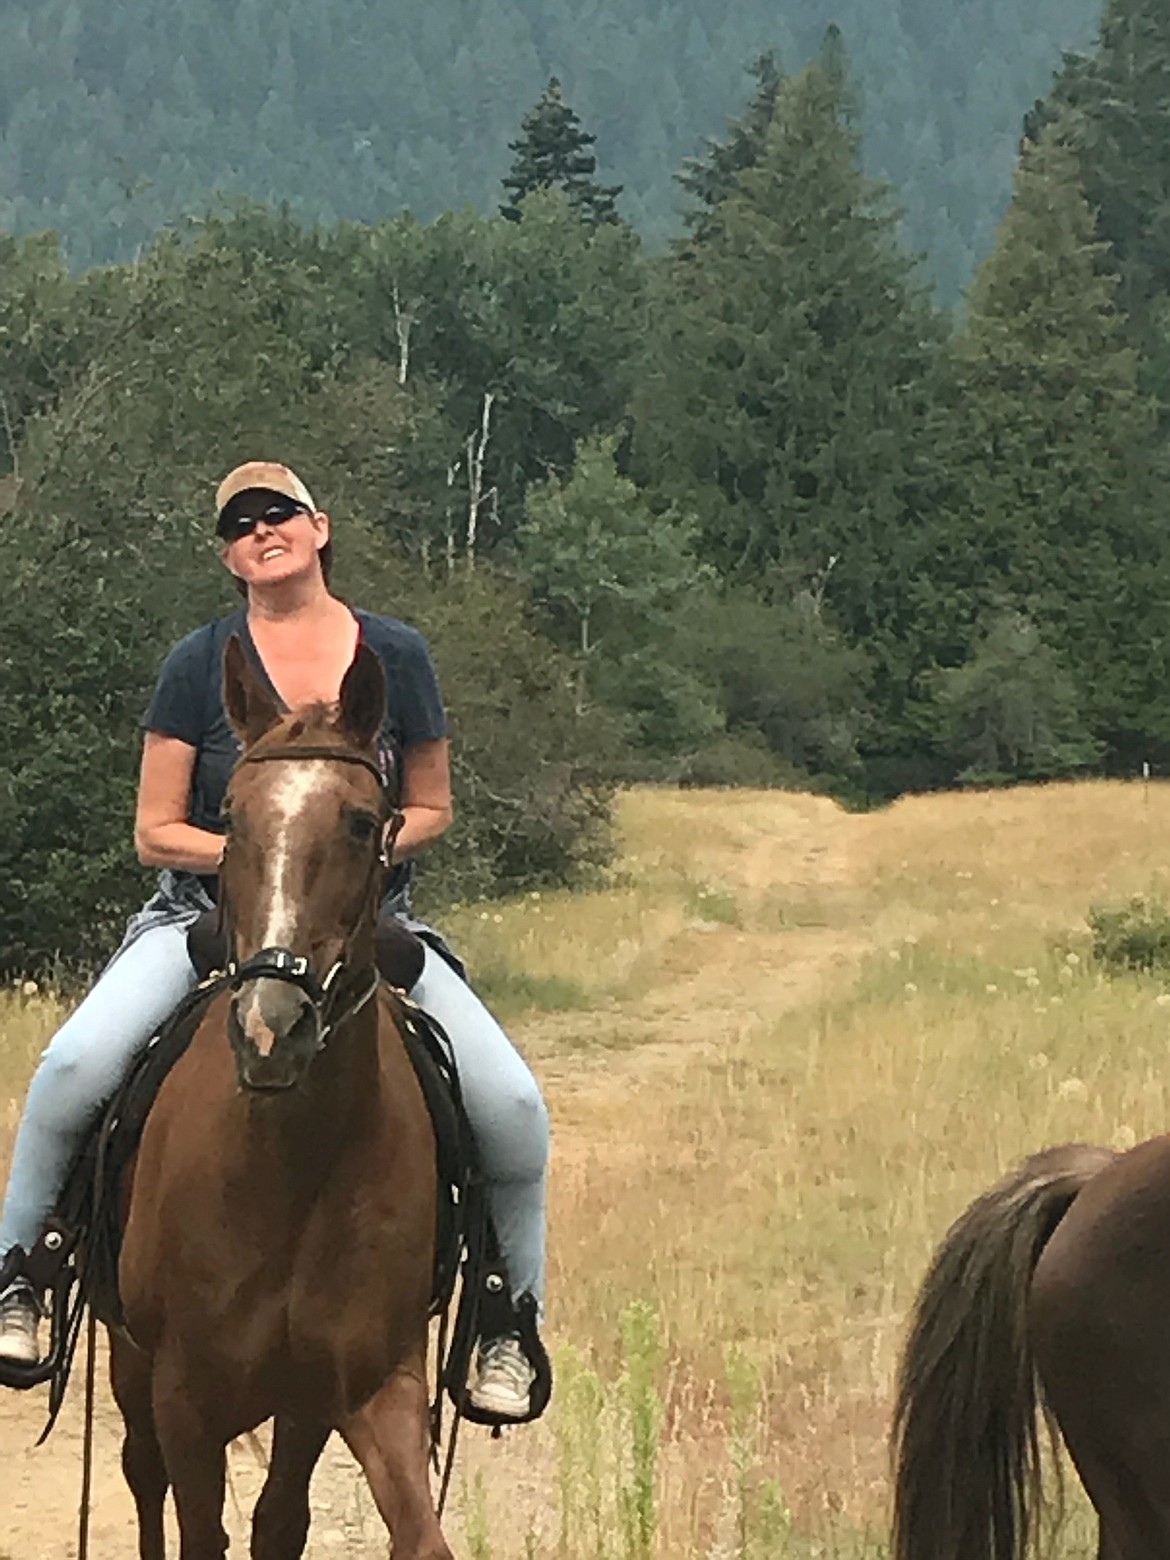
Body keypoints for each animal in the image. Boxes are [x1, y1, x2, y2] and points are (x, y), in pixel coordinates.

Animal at [109, 636, 452, 1560]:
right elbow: (197, 1527)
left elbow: (299, 1526)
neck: (285, 1167)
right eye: (231, 818)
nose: (272, 1029)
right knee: (140, 1476)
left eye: (363, 822)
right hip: (129, 1364)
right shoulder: (183, 1398)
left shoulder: (342, 1390)